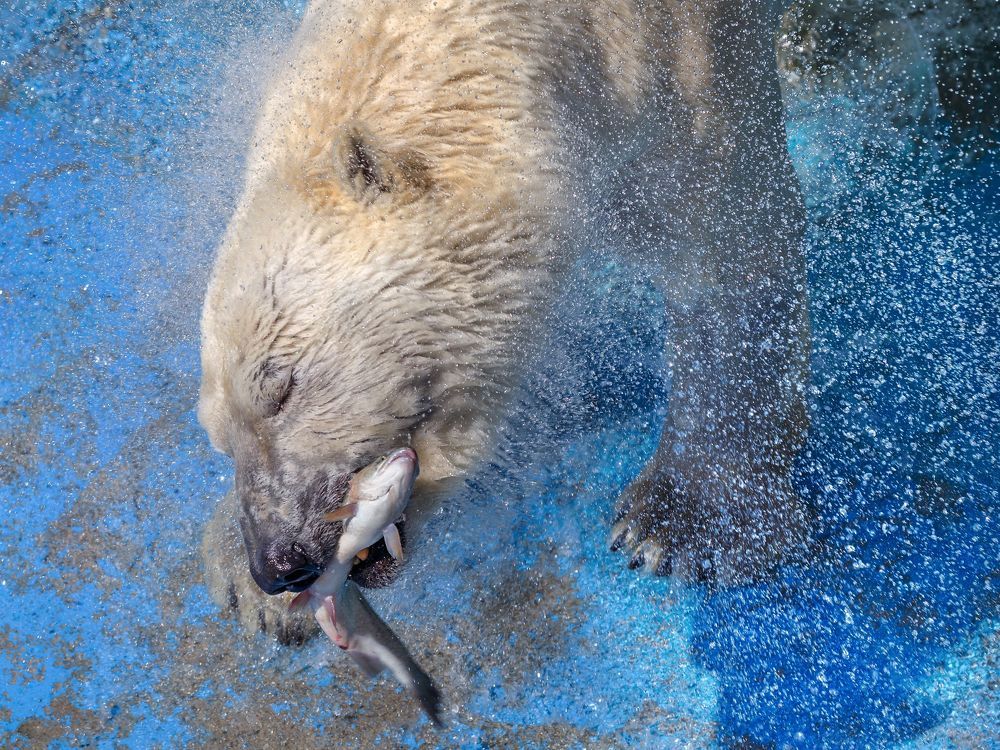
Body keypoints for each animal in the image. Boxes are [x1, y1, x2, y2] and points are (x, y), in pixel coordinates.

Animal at [199, 0, 810, 643]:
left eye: (281, 387)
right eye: (219, 437)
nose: (276, 563)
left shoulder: (688, 73)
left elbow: (729, 253)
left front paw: (682, 522)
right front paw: (242, 578)